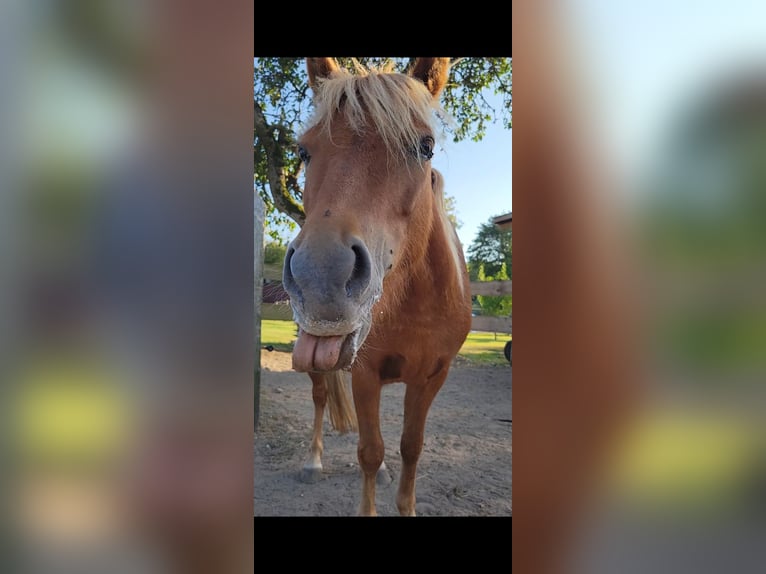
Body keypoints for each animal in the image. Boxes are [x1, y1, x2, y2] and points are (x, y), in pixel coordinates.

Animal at [284, 58, 474, 516]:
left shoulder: (431, 377)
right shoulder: (364, 373)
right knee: (321, 397)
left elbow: (410, 447)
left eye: (425, 146)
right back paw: (313, 462)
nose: (321, 275)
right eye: (303, 151)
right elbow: (369, 451)